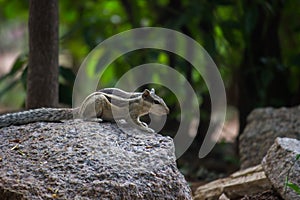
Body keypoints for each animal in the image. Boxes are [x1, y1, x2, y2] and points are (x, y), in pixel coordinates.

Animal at [0, 88, 169, 133]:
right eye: (156, 102)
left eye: (162, 99)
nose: (168, 111)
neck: (139, 102)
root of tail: (80, 107)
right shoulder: (132, 113)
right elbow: (135, 122)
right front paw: (147, 129)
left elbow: (139, 121)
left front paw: (145, 125)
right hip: (98, 102)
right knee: (84, 118)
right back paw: (96, 119)